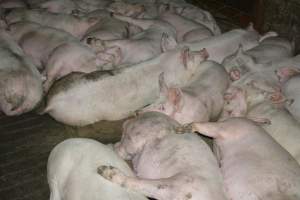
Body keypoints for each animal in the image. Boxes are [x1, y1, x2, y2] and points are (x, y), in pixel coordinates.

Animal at [41, 46, 209, 126]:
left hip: (73, 76)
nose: (204, 51)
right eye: (192, 55)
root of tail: (50, 104)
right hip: (81, 117)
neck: (167, 65)